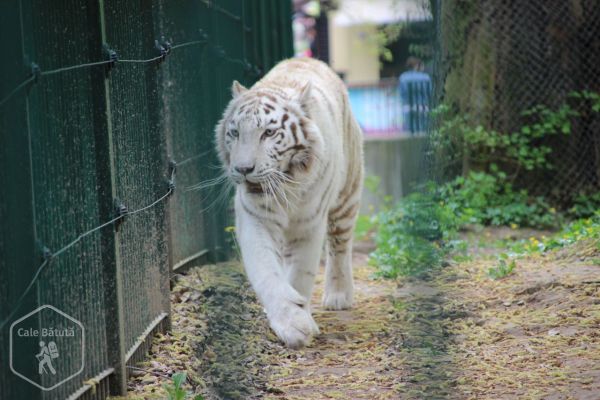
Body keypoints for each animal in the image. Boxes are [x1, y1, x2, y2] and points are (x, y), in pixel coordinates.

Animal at [216, 57, 366, 346]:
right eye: (235, 133)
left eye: (268, 133)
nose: (243, 169)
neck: (285, 186)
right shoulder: (256, 218)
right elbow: (266, 271)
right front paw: (291, 321)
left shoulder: (309, 223)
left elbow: (300, 274)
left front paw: (300, 321)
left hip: (346, 198)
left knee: (340, 246)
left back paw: (338, 296)